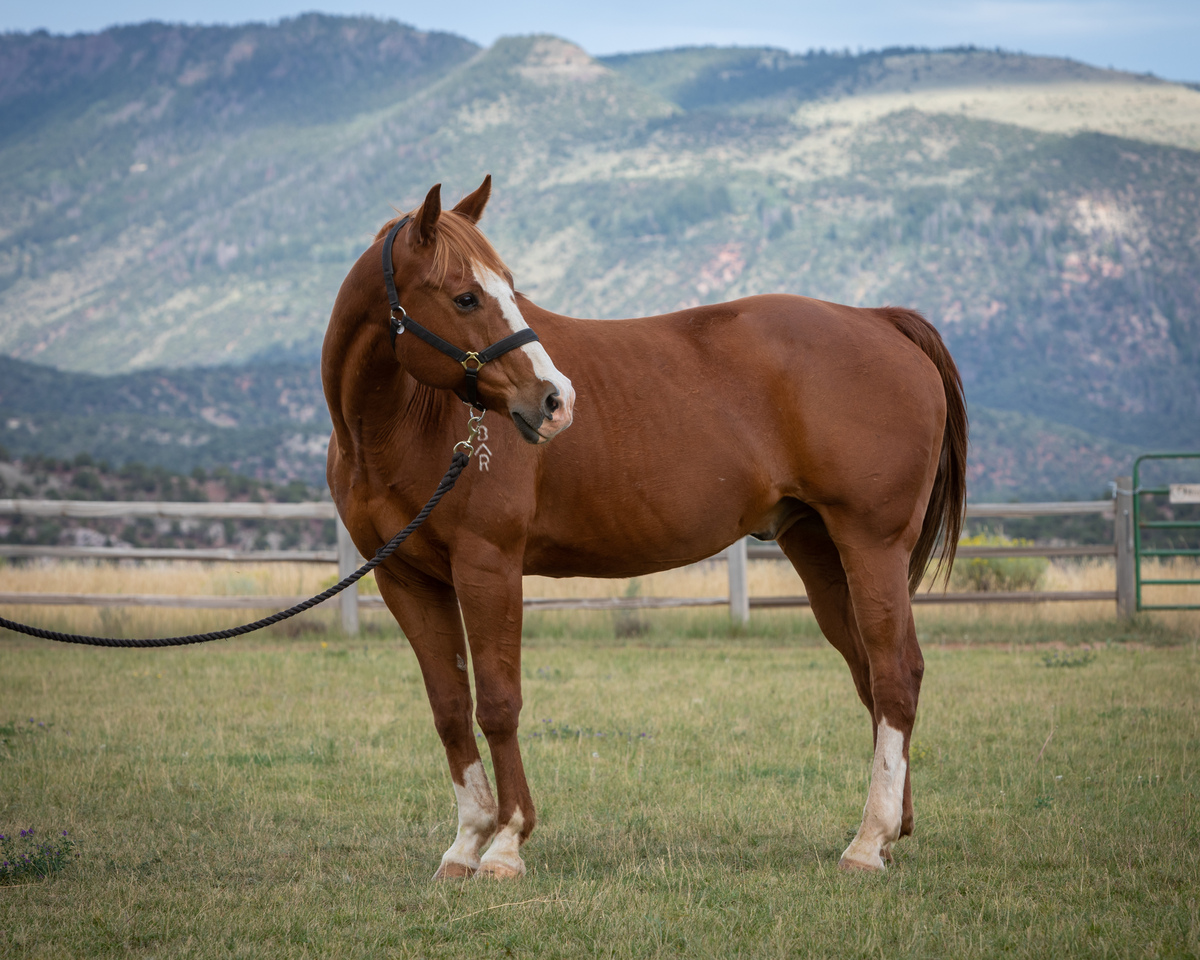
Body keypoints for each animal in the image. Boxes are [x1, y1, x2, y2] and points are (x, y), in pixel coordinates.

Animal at [322, 176, 968, 879]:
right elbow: (449, 710)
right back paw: (893, 827)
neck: (406, 424)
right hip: (820, 550)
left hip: (871, 544)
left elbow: (496, 702)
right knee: (870, 676)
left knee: (896, 673)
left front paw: (506, 842)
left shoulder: (487, 565)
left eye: (509, 289)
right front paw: (465, 843)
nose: (555, 401)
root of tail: (879, 320)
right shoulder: (406, 580)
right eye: (466, 296)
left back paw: (869, 841)